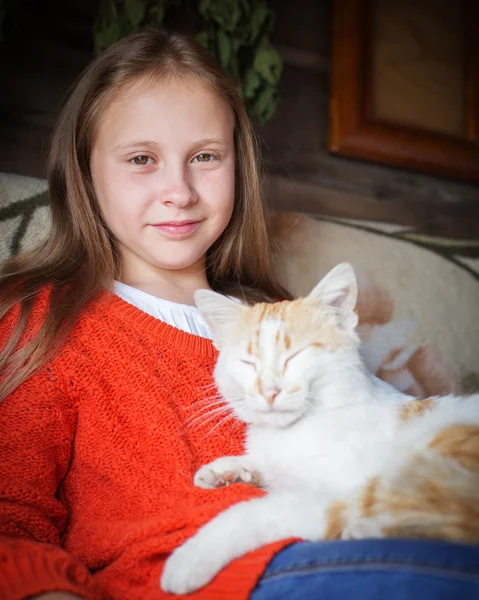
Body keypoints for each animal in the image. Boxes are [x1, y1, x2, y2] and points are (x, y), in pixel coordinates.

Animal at [161, 264, 479, 596]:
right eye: (248, 363)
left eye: (295, 356)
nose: (269, 391)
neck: (293, 431)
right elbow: (267, 469)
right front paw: (227, 470)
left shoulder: (334, 494)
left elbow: (257, 511)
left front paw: (191, 557)